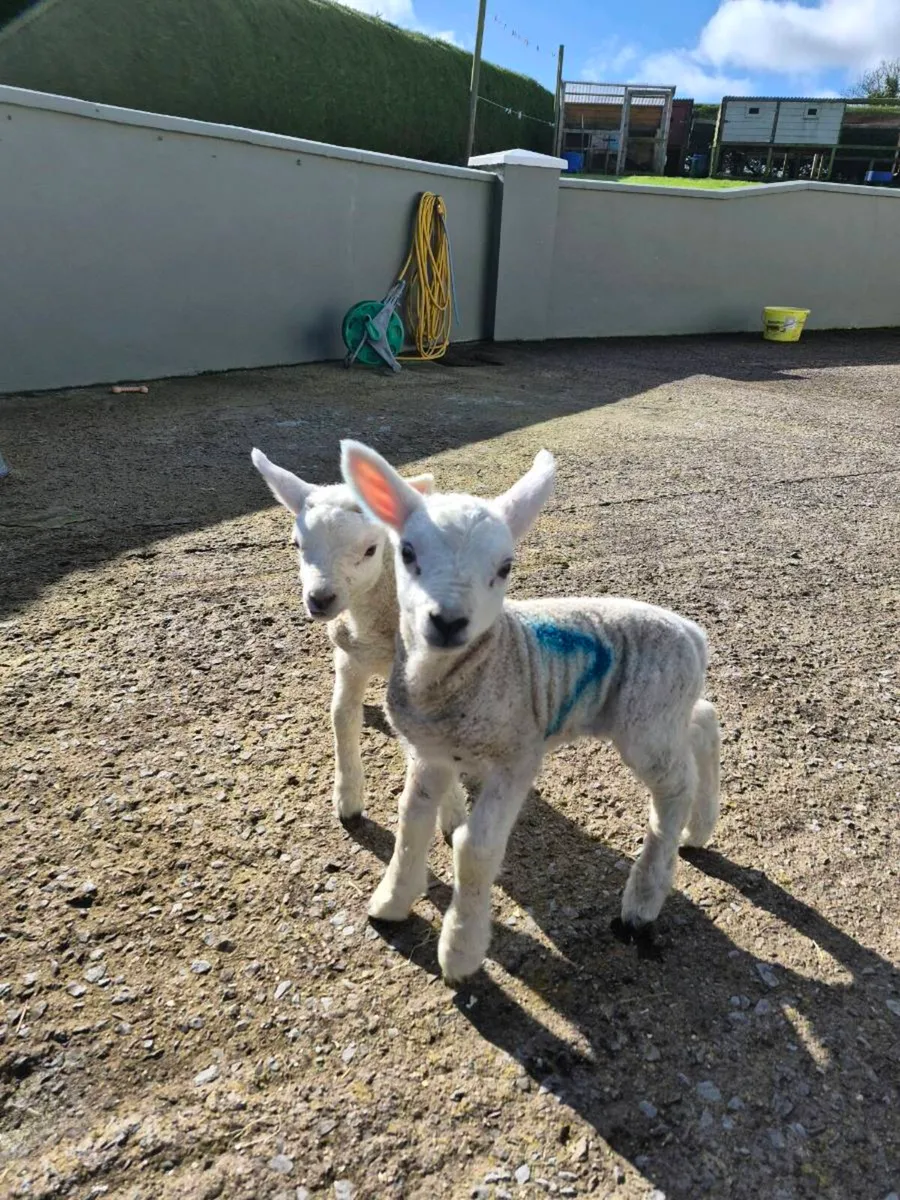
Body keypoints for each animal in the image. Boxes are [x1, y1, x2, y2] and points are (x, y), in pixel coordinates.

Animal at [251, 448, 468, 839]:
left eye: (370, 549)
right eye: (296, 544)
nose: (320, 599)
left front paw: (454, 812)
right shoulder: (350, 658)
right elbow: (341, 715)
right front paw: (348, 797)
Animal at [339, 439, 722, 983]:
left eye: (505, 567)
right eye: (407, 553)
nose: (448, 621)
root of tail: (693, 634)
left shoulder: (517, 756)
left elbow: (475, 849)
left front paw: (460, 952)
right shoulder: (431, 753)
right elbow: (411, 823)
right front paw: (391, 904)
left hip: (646, 722)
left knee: (674, 788)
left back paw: (642, 902)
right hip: (660, 710)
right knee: (703, 722)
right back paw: (700, 829)